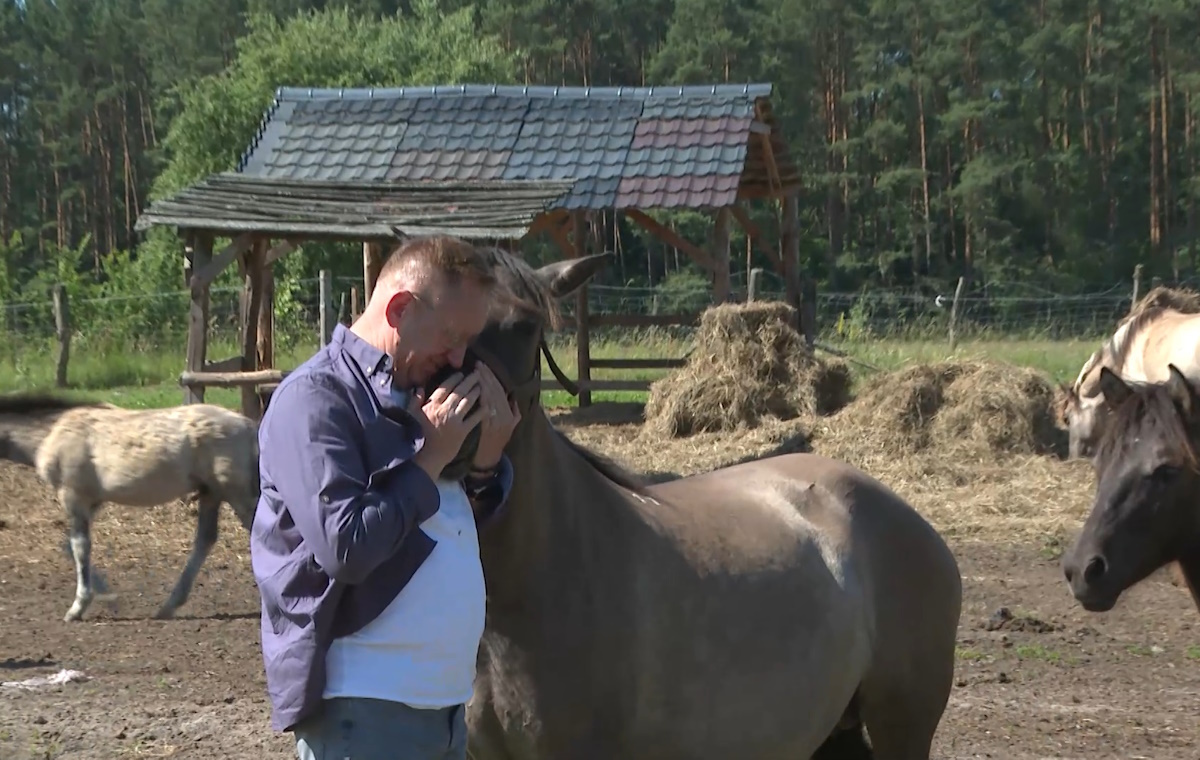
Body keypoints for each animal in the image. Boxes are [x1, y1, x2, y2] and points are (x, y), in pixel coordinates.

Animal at [0, 393, 260, 619]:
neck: (52, 432)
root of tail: (248, 425)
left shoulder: (73, 496)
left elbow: (80, 546)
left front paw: (78, 607)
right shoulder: (92, 501)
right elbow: (70, 545)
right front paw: (108, 597)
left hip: (235, 494)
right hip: (211, 494)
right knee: (205, 539)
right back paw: (169, 606)